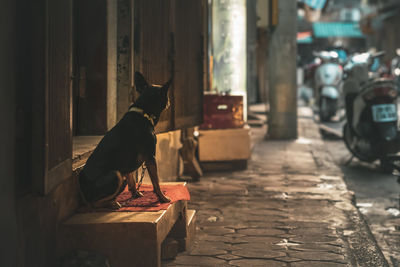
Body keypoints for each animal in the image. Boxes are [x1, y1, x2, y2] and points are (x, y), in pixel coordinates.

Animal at [79, 71, 171, 209]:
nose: (169, 101)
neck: (143, 112)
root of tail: (84, 190)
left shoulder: (128, 163)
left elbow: (131, 180)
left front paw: (136, 194)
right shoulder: (150, 157)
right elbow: (156, 182)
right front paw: (162, 198)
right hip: (116, 175)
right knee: (94, 203)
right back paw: (113, 203)